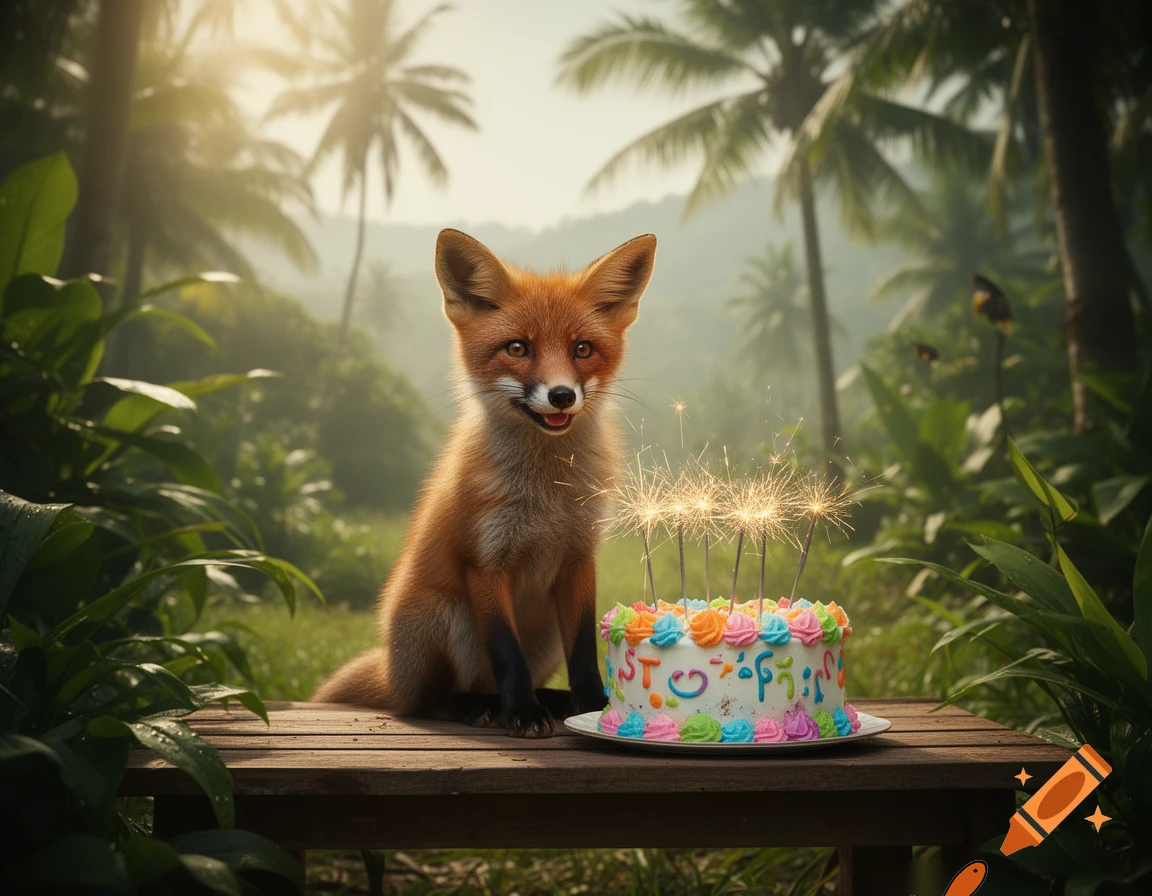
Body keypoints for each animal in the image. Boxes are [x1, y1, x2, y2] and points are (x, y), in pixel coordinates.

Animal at [311, 228, 657, 737]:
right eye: (517, 348)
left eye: (582, 349)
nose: (561, 395)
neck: (547, 495)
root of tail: (391, 670)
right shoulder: (485, 561)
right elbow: (506, 652)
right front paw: (523, 713)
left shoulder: (579, 556)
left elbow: (583, 651)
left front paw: (593, 706)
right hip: (443, 618)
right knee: (427, 701)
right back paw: (481, 706)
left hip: (543, 632)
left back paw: (552, 700)